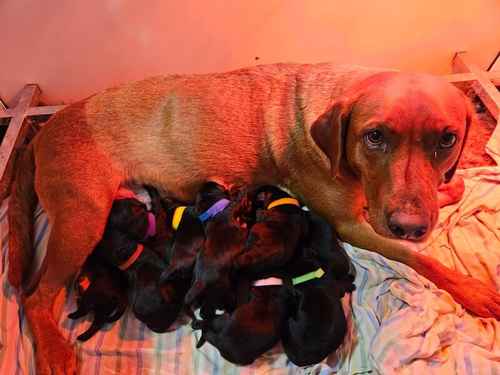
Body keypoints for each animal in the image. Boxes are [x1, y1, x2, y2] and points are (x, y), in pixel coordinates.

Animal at [7, 63, 500, 374]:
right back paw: (53, 350)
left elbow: (446, 193)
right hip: (82, 220)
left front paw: (449, 188)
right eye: (374, 136)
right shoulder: (351, 224)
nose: (410, 225)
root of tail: (41, 132)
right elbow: (420, 258)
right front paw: (473, 289)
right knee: (35, 297)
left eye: (447, 140)